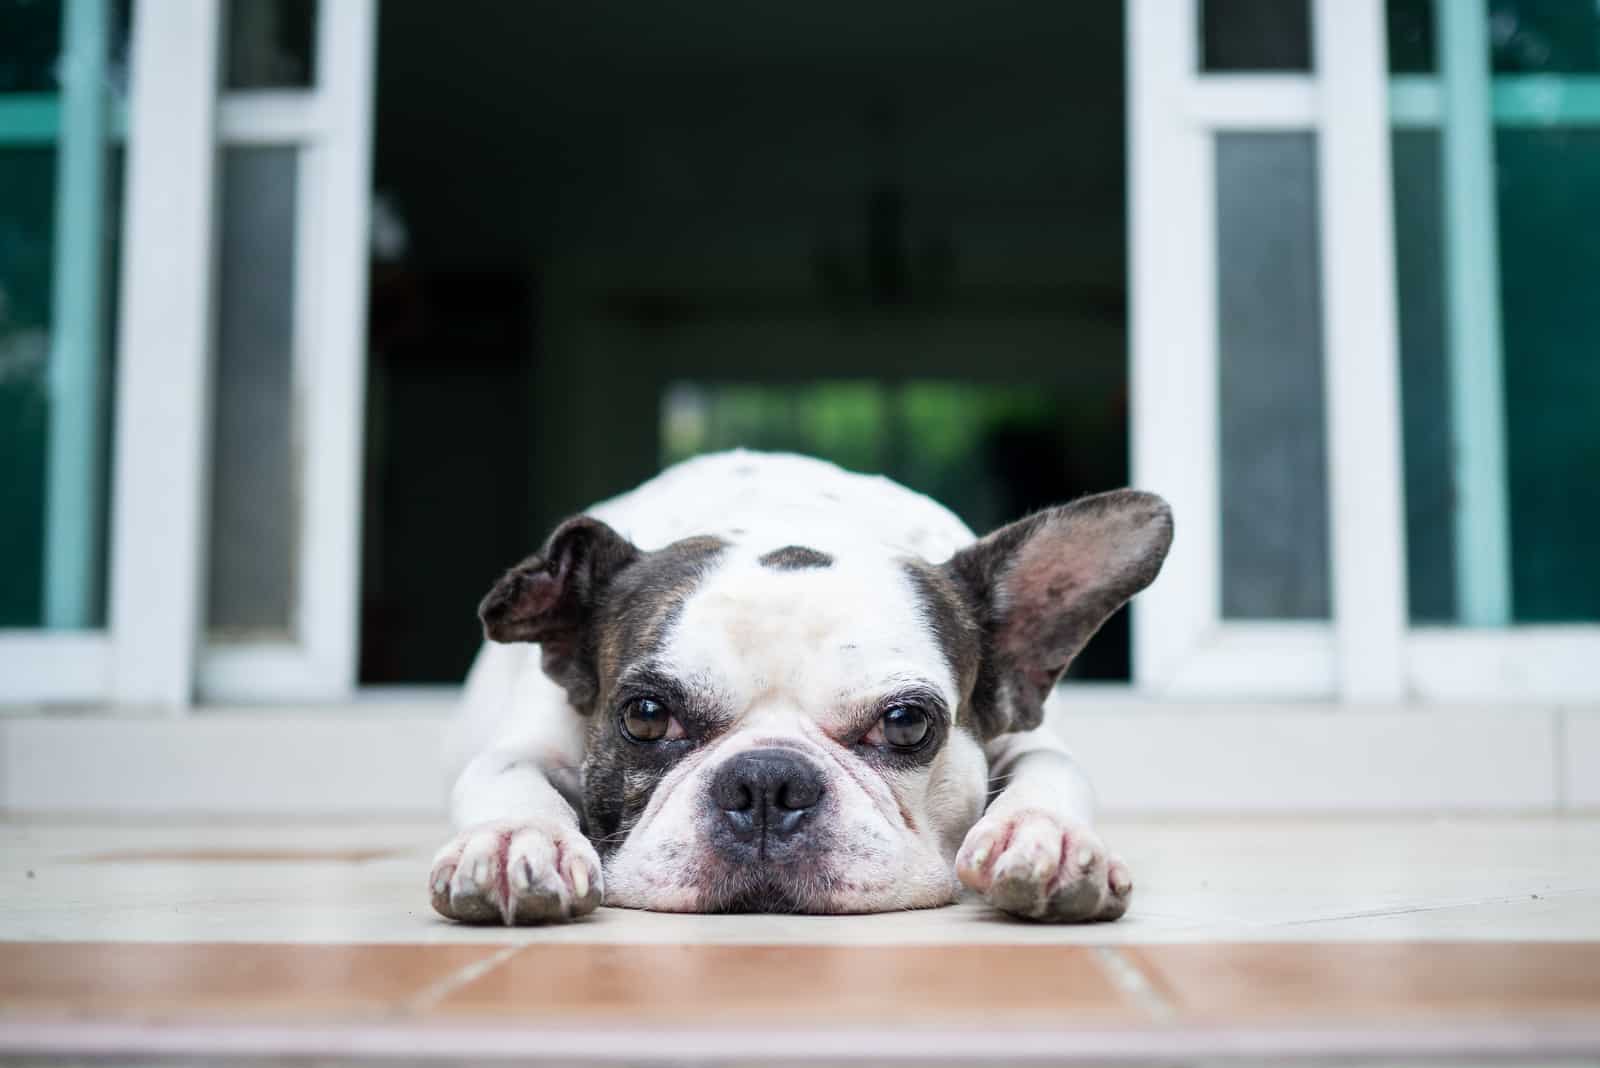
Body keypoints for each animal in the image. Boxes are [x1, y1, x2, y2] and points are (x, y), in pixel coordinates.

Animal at [432, 447, 1171, 920]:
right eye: (645, 715)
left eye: (907, 724)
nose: (766, 782)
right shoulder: (528, 745)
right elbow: (509, 778)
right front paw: (517, 842)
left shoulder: (1027, 737)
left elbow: (1052, 769)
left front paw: (1047, 840)